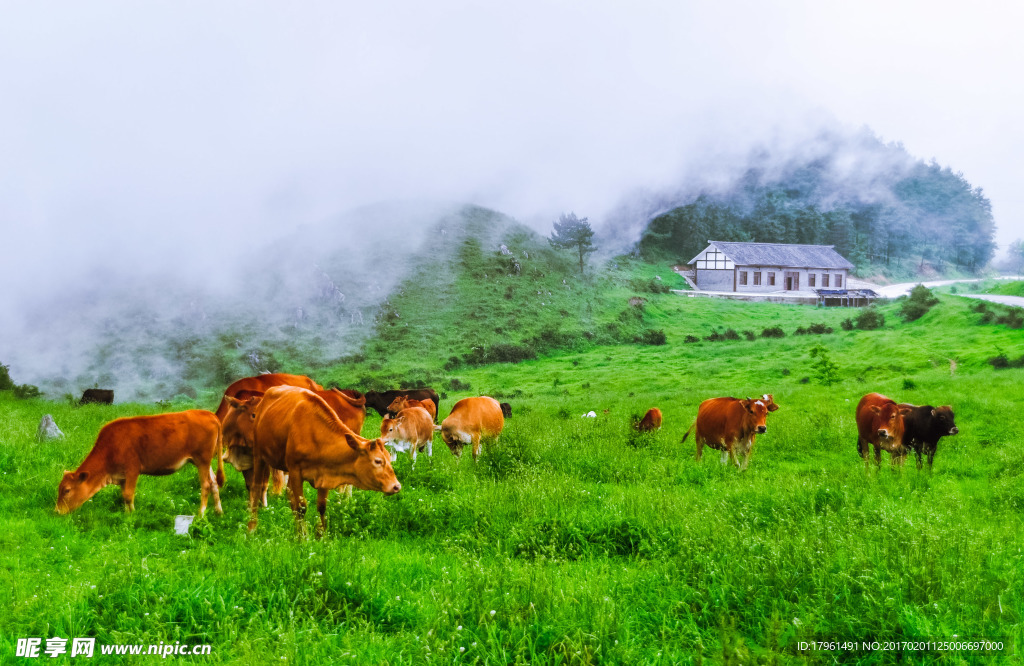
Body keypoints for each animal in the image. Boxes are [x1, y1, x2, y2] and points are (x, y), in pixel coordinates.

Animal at [56, 409, 222, 514]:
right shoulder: (122, 476)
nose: (57, 511)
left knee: (206, 485)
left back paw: (201, 514)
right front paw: (126, 514)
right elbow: (124, 496)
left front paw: (132, 516)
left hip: (202, 460)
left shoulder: (132, 469)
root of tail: (209, 414)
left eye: (67, 490)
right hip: (203, 462)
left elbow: (129, 495)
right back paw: (218, 512)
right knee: (214, 482)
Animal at [247, 387, 399, 532]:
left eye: (389, 459)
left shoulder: (326, 472)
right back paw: (252, 528)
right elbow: (301, 507)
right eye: (378, 461)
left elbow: (321, 506)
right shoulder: (295, 472)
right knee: (257, 488)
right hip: (259, 456)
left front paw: (320, 536)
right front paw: (303, 537)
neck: (316, 435)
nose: (396, 486)